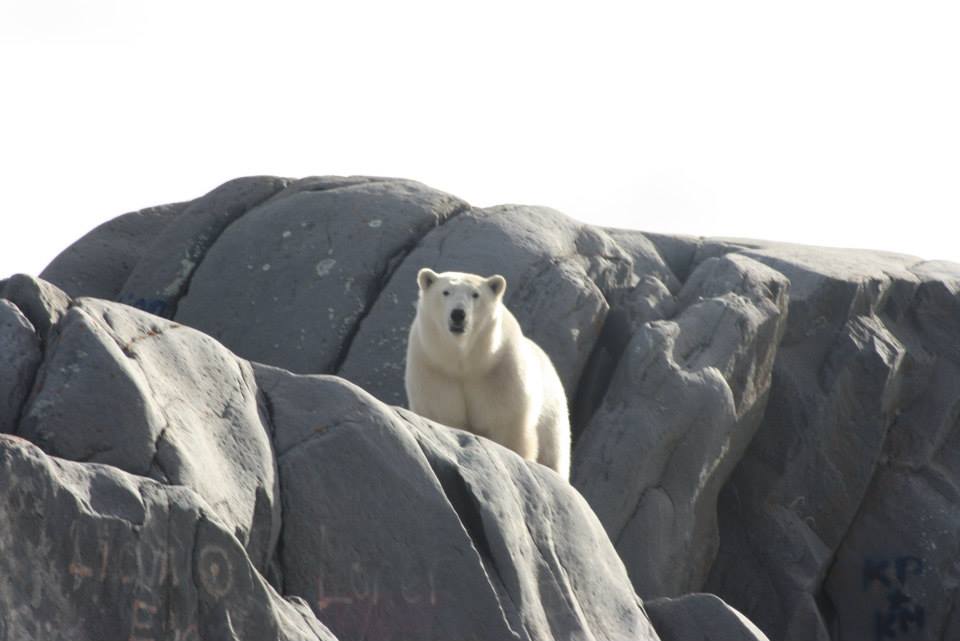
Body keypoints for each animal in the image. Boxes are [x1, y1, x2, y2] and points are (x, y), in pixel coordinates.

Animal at [405, 268, 571, 479]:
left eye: (475, 294)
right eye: (445, 292)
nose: (458, 314)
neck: (465, 363)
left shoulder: (501, 372)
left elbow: (507, 423)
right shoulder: (433, 369)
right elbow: (443, 413)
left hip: (553, 412)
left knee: (554, 451)